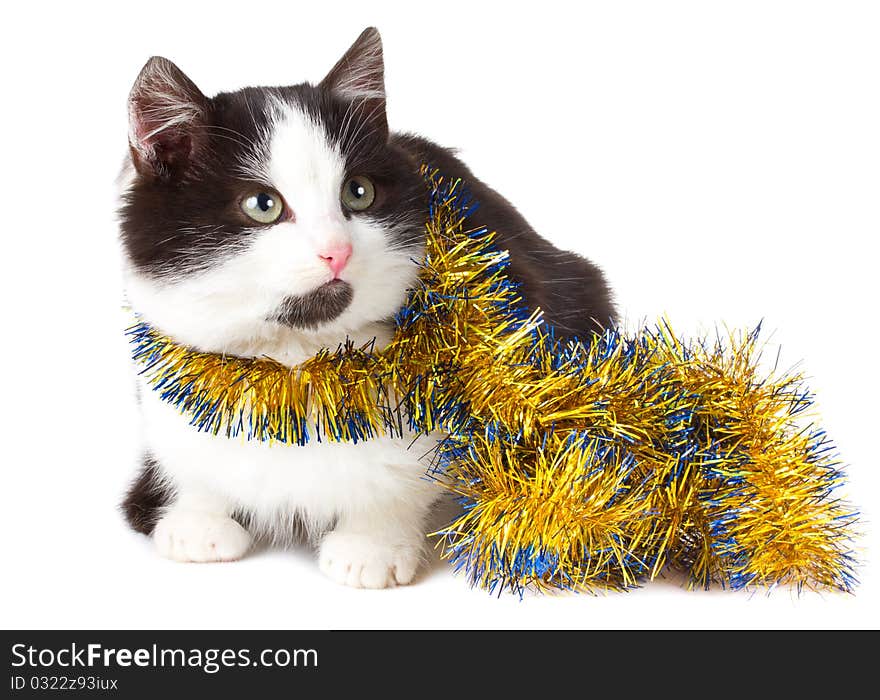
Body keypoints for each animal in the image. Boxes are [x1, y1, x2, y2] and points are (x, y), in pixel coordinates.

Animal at [118, 27, 612, 588]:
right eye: (262, 205)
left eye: (359, 193)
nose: (338, 250)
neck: (295, 364)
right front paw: (197, 520)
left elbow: (410, 465)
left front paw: (371, 544)